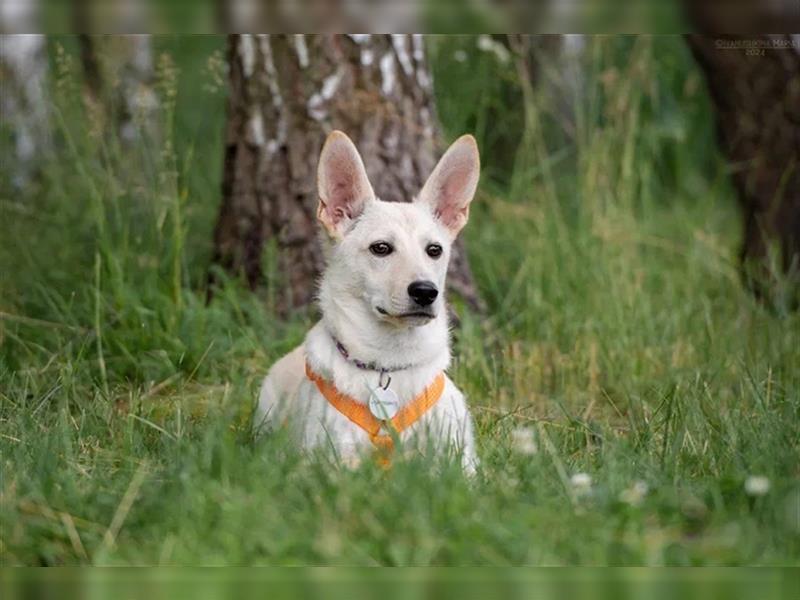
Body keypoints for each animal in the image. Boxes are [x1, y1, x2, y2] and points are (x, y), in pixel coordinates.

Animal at [256, 131, 478, 474]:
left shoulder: (462, 464)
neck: (388, 361)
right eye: (381, 248)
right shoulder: (326, 460)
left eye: (435, 250)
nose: (426, 292)